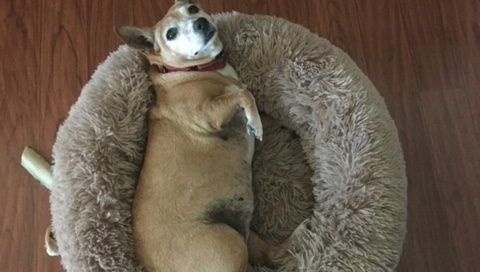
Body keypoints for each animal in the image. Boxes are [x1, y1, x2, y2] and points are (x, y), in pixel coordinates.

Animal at [116, 0, 288, 272]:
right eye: (171, 34)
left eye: (192, 8)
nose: (200, 22)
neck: (192, 69)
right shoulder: (208, 115)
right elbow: (243, 93)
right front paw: (256, 123)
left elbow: (243, 91)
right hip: (231, 244)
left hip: (247, 240)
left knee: (276, 255)